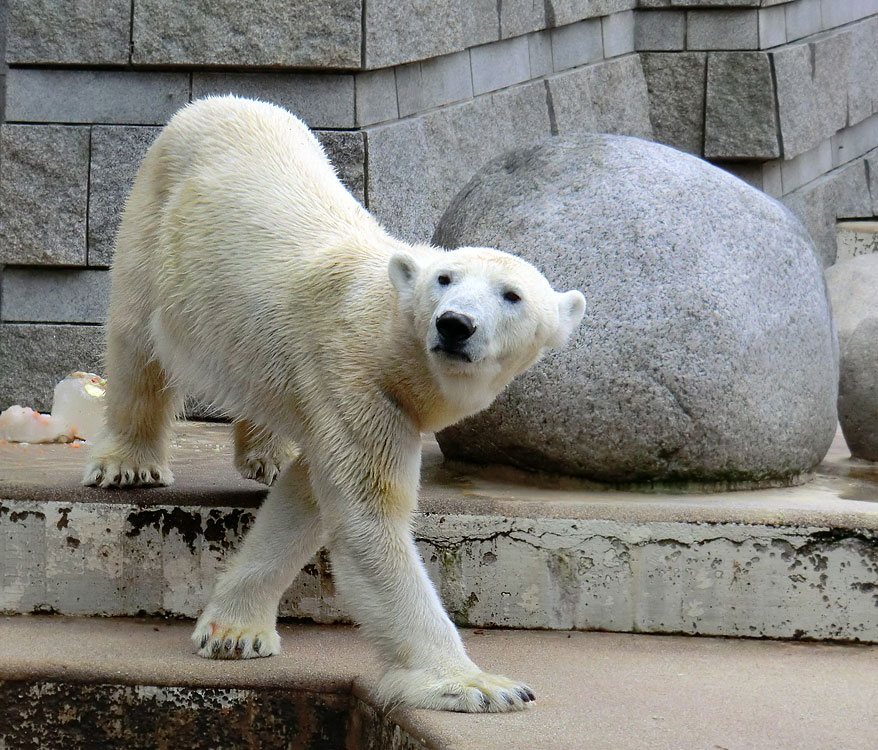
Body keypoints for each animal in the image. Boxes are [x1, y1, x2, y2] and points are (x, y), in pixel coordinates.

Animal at [84, 97, 584, 712]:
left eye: (512, 296)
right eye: (445, 279)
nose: (455, 324)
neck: (388, 337)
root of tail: (215, 102)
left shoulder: (356, 402)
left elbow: (305, 501)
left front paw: (235, 630)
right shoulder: (358, 382)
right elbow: (369, 521)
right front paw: (480, 685)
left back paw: (265, 454)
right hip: (155, 212)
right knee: (137, 342)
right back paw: (128, 462)